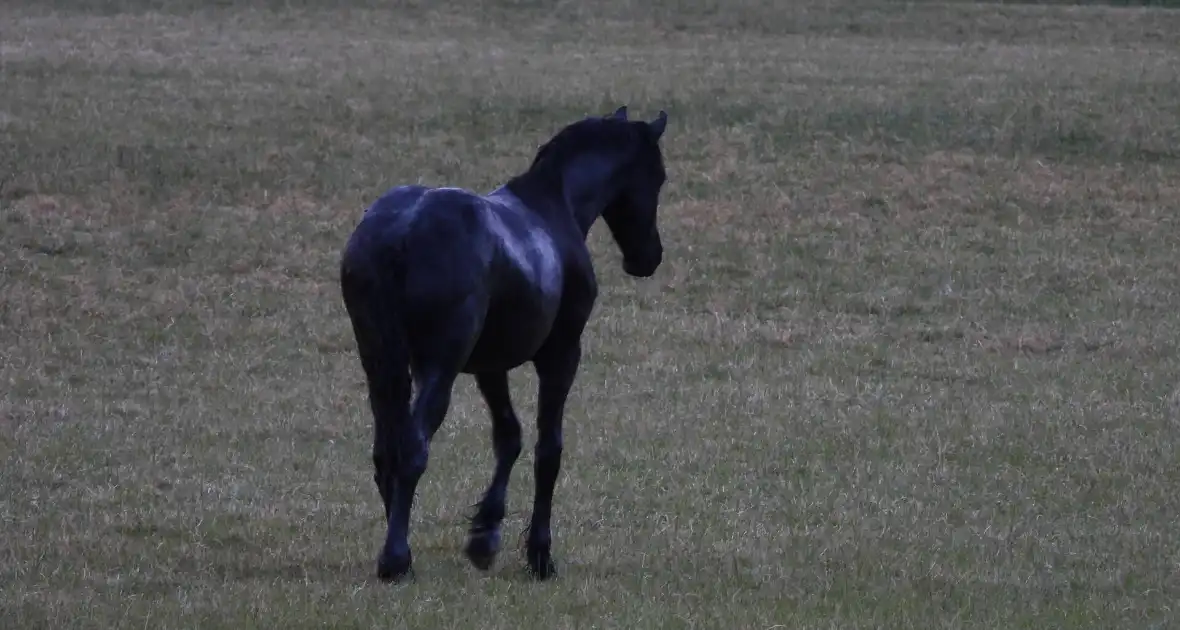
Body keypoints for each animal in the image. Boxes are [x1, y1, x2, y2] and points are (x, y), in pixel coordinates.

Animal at [342, 106, 670, 585]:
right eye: (659, 177)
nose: (648, 257)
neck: (552, 208)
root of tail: (399, 232)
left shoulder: (489, 366)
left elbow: (508, 437)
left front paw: (485, 535)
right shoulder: (561, 355)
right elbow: (548, 449)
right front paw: (539, 555)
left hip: (381, 363)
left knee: (386, 452)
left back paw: (399, 553)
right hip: (438, 365)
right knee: (413, 447)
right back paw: (396, 559)